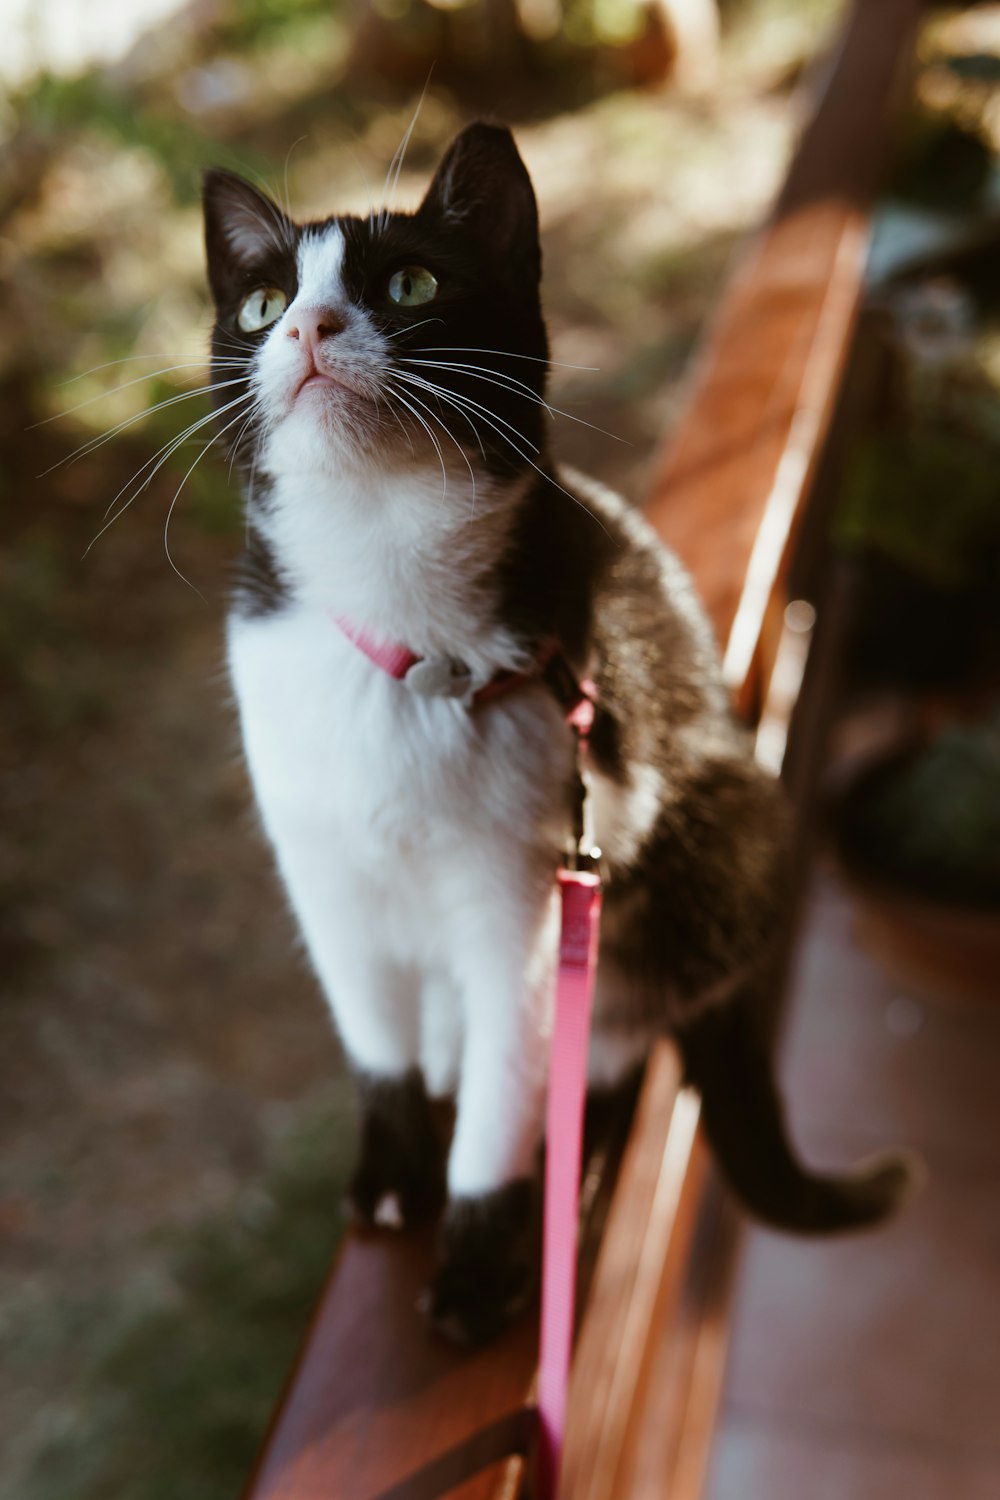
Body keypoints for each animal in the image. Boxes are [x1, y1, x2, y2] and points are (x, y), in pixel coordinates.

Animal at [200, 123, 917, 1344]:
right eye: (261, 303)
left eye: (411, 284)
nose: (306, 328)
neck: (399, 622)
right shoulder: (323, 869)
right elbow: (373, 1035)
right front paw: (391, 1169)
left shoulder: (528, 891)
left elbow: (513, 1076)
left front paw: (481, 1257)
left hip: (720, 840)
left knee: (619, 1025)